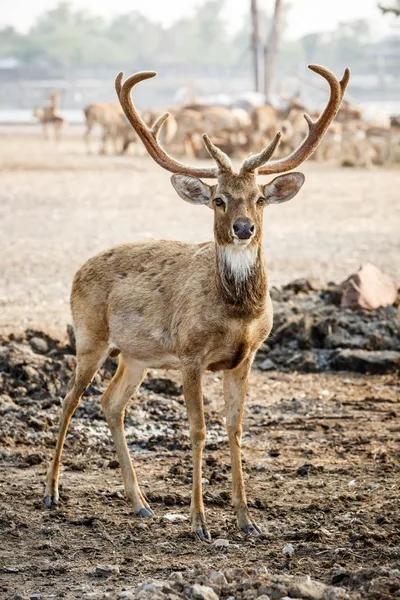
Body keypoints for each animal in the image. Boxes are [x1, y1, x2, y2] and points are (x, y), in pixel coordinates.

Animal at [43, 63, 348, 540]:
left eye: (260, 198)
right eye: (218, 199)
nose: (243, 227)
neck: (238, 313)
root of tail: (78, 269)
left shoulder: (246, 357)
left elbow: (235, 428)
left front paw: (246, 520)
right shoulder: (190, 354)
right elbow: (200, 430)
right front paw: (200, 521)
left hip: (136, 356)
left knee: (111, 403)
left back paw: (141, 503)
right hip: (90, 336)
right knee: (70, 401)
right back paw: (52, 493)